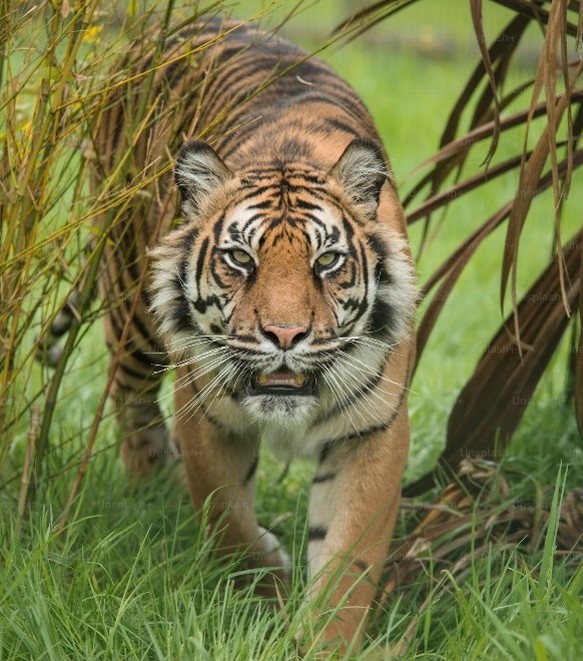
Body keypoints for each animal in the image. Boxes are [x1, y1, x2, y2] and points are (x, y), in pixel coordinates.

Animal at [88, 14, 416, 655]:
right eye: (240, 259)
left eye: (327, 261)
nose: (285, 335)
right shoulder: (205, 412)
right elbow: (226, 517)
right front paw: (268, 583)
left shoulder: (372, 430)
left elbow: (348, 561)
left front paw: (323, 643)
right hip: (130, 299)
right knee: (130, 398)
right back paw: (153, 486)